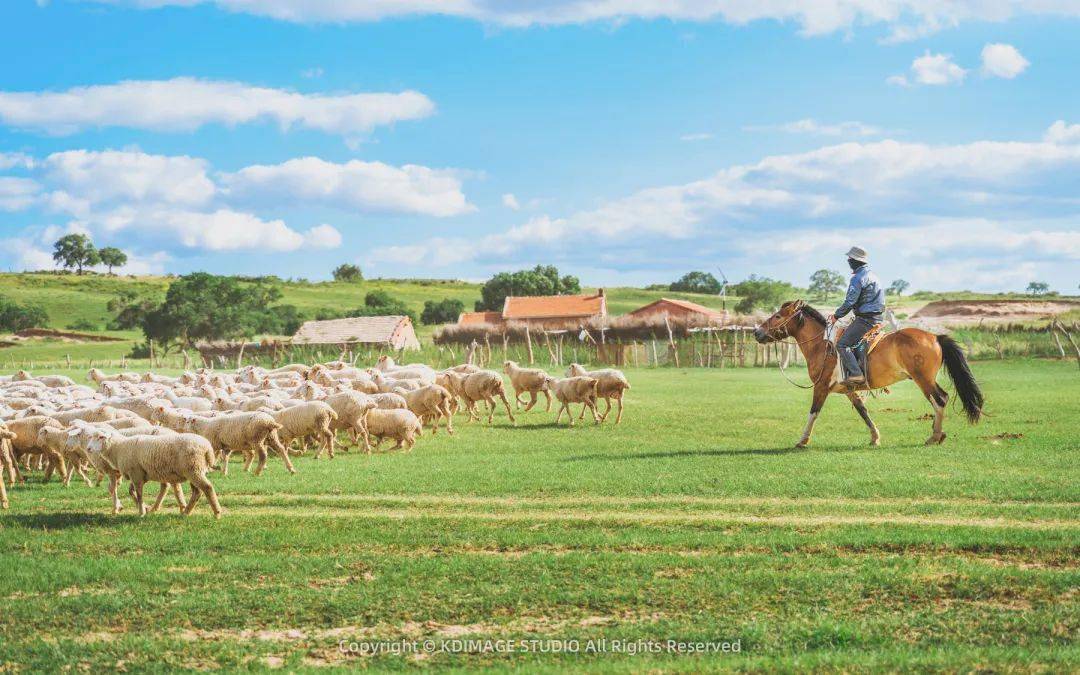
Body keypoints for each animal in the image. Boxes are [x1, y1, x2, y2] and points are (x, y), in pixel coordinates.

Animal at [86, 429, 221, 518]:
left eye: (101, 437)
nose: (88, 448)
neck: (119, 447)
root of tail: (207, 448)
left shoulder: (136, 473)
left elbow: (139, 494)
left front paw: (141, 512)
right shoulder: (139, 474)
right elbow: (132, 491)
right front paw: (144, 508)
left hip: (193, 469)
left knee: (207, 488)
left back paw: (217, 513)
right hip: (194, 470)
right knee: (197, 492)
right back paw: (186, 512)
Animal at [756, 300, 984, 447]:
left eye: (777, 316)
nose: (757, 332)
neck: (822, 345)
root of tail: (935, 337)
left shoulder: (821, 387)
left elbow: (813, 412)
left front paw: (803, 440)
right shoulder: (849, 389)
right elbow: (862, 411)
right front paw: (875, 438)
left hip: (923, 379)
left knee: (939, 400)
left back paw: (934, 436)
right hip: (927, 379)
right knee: (942, 398)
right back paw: (938, 435)